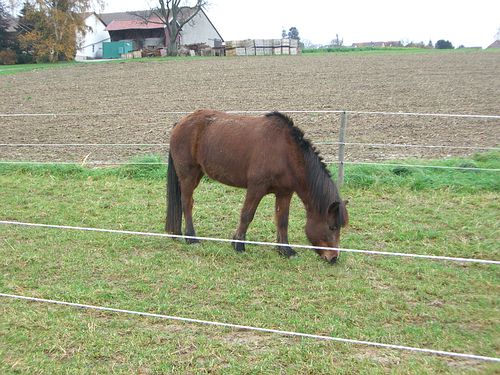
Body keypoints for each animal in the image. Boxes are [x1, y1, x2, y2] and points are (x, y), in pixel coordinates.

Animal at [166, 108, 350, 262]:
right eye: (332, 227)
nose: (333, 258)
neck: (285, 152)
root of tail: (179, 123)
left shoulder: (284, 193)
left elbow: (283, 220)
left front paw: (285, 250)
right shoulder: (256, 188)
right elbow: (247, 215)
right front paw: (238, 245)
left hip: (197, 174)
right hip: (188, 176)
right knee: (187, 203)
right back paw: (191, 238)